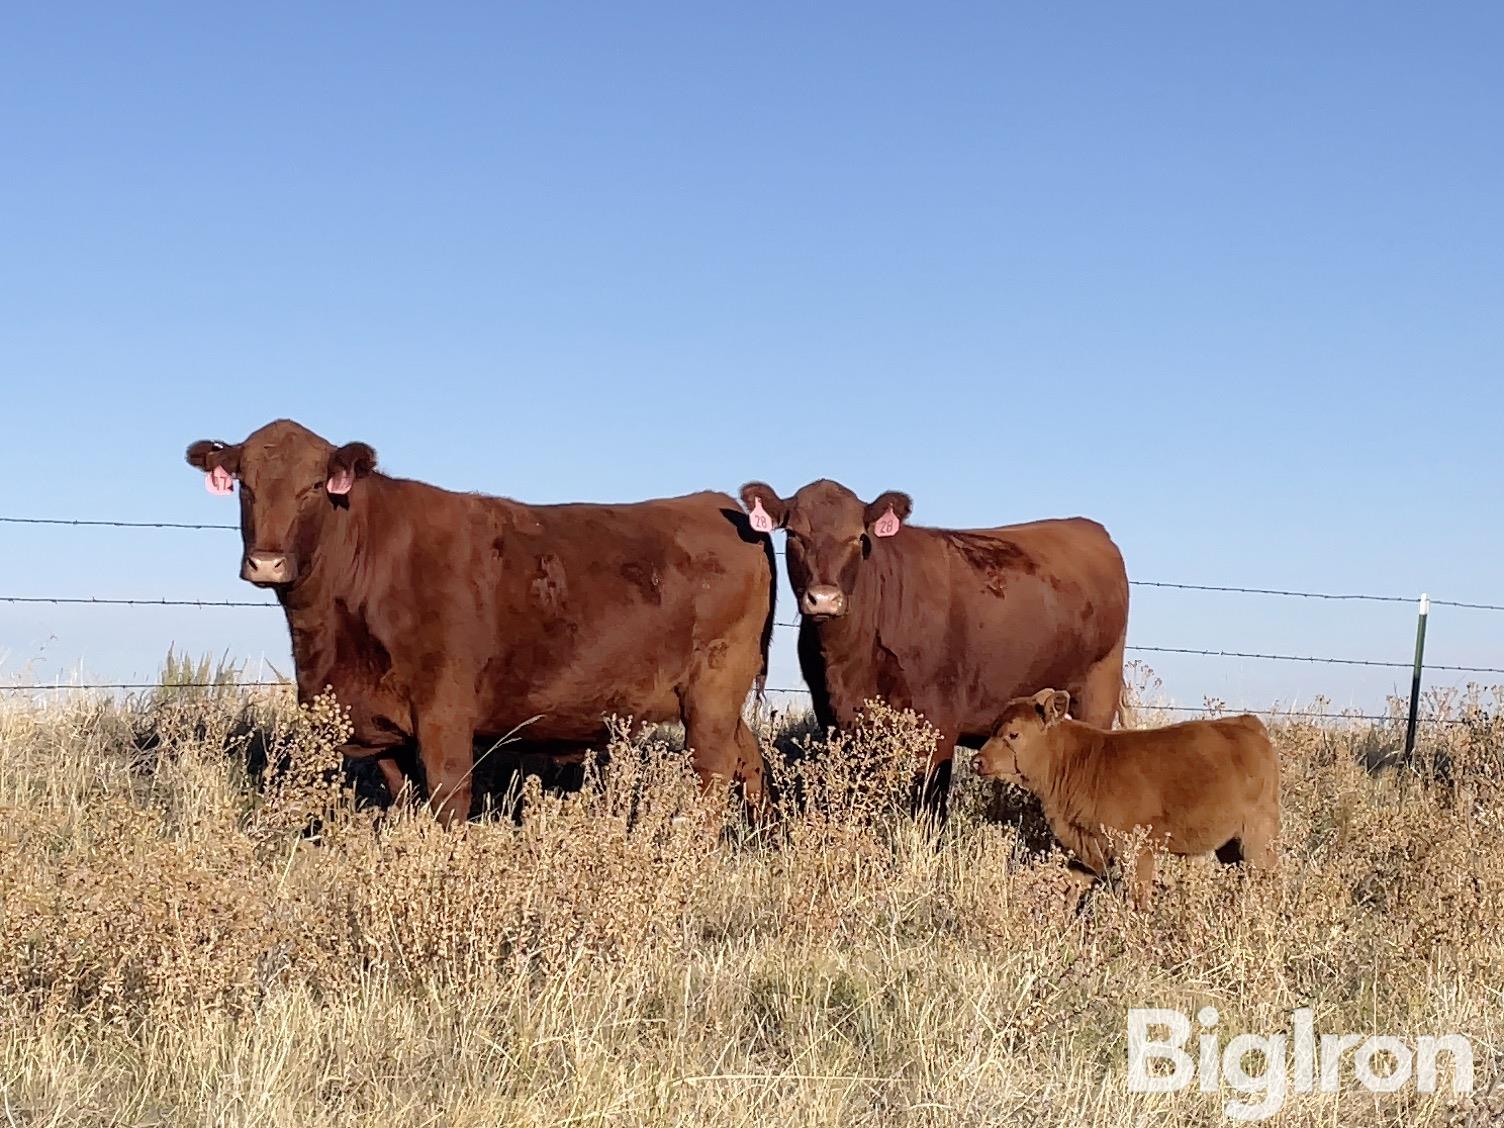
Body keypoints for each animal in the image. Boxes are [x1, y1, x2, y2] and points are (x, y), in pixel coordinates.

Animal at [974, 688, 1281, 908]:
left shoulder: (1138, 849)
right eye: (992, 729)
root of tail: (1247, 723)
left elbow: (1138, 899)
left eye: (1014, 734)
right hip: (1231, 843)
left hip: (1258, 834)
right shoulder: (1087, 846)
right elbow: (1070, 892)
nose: (977, 761)